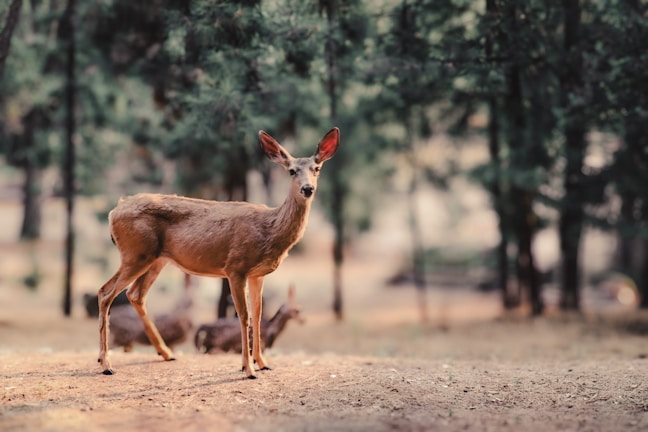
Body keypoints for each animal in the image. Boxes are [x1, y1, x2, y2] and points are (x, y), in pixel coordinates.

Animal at [97, 127, 339, 379]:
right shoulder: (235, 267)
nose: (307, 189)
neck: (269, 228)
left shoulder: (257, 274)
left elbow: (258, 314)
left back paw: (166, 353)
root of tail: (113, 212)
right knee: (106, 292)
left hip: (155, 259)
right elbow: (244, 316)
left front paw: (263, 362)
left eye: (317, 168)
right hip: (135, 253)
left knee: (135, 294)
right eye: (291, 170)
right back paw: (106, 364)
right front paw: (248, 368)